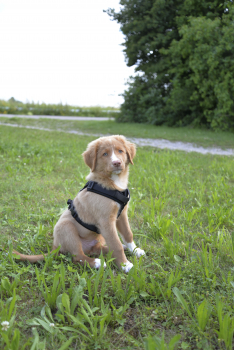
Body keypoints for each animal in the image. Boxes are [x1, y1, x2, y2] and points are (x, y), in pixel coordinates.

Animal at [13, 135, 144, 272]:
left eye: (120, 151)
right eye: (105, 154)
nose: (117, 163)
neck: (113, 183)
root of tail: (55, 247)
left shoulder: (122, 215)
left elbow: (128, 234)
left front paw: (135, 250)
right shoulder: (106, 222)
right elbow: (115, 244)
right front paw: (125, 265)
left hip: (98, 237)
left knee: (95, 249)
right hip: (67, 228)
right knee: (78, 256)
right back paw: (97, 263)